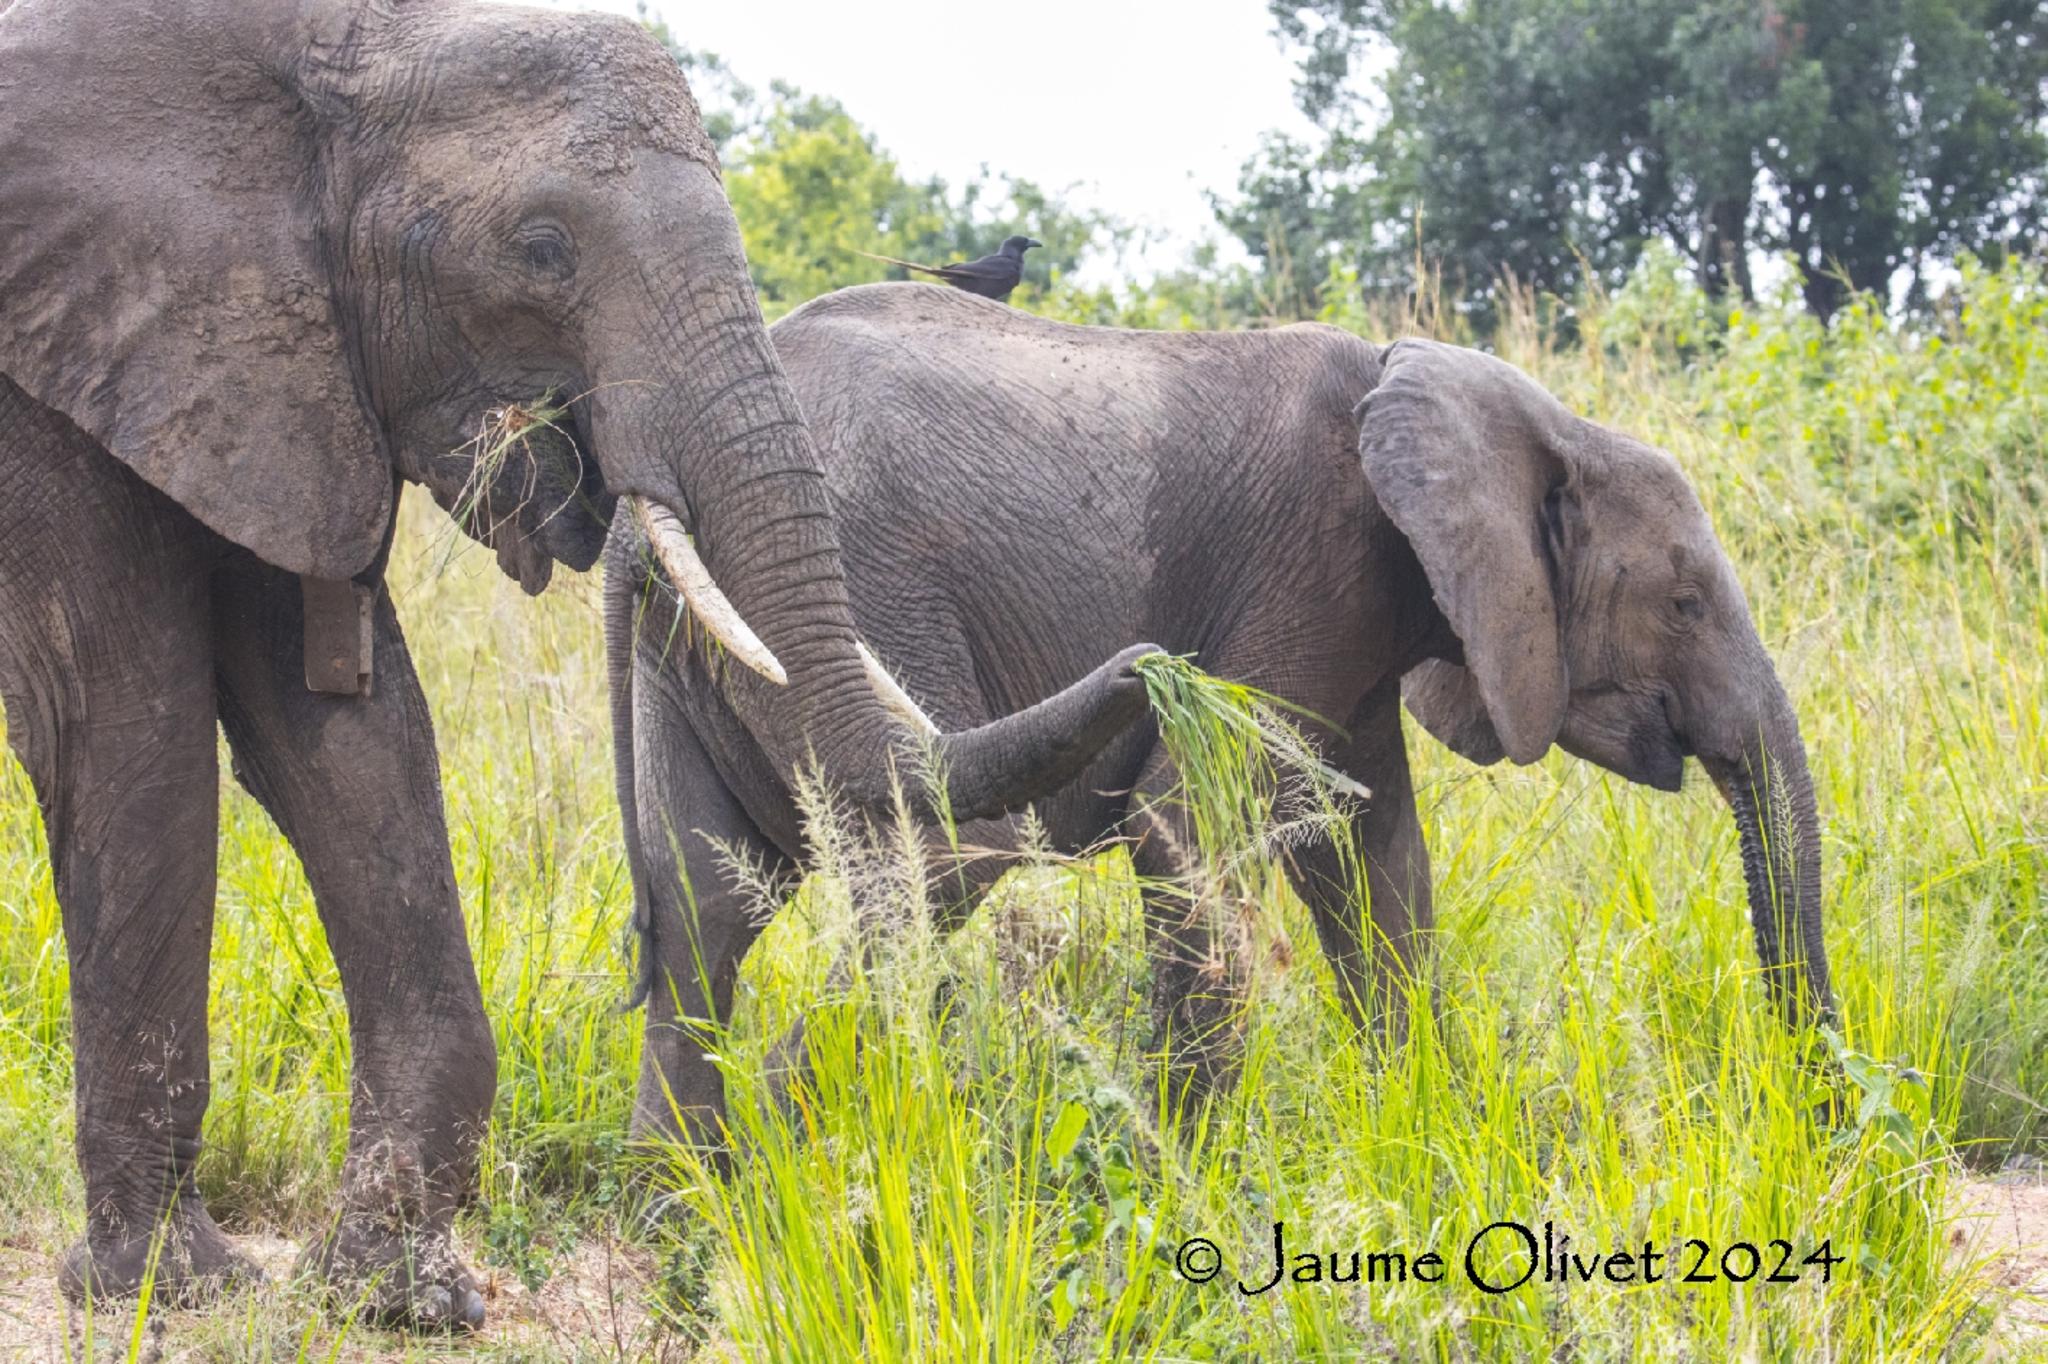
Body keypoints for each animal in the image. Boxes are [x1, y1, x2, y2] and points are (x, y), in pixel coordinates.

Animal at [0, 0, 1155, 1318]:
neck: (309, 44)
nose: (1149, 665)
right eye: (541, 248)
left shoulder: (269, 373)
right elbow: (122, 718)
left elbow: (345, 737)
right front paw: (162, 1285)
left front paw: (396, 1292)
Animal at [610, 278, 1843, 1138]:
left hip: (694, 654)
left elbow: (1375, 862)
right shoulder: (1315, 569)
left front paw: (1431, 1133)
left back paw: (695, 1206)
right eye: (1683, 601)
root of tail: (643, 507)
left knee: (703, 907)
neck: (1514, 413)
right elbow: (1187, 825)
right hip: (866, 586)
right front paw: (1176, 1179)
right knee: (944, 862)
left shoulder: (1360, 631)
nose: (1818, 1112)